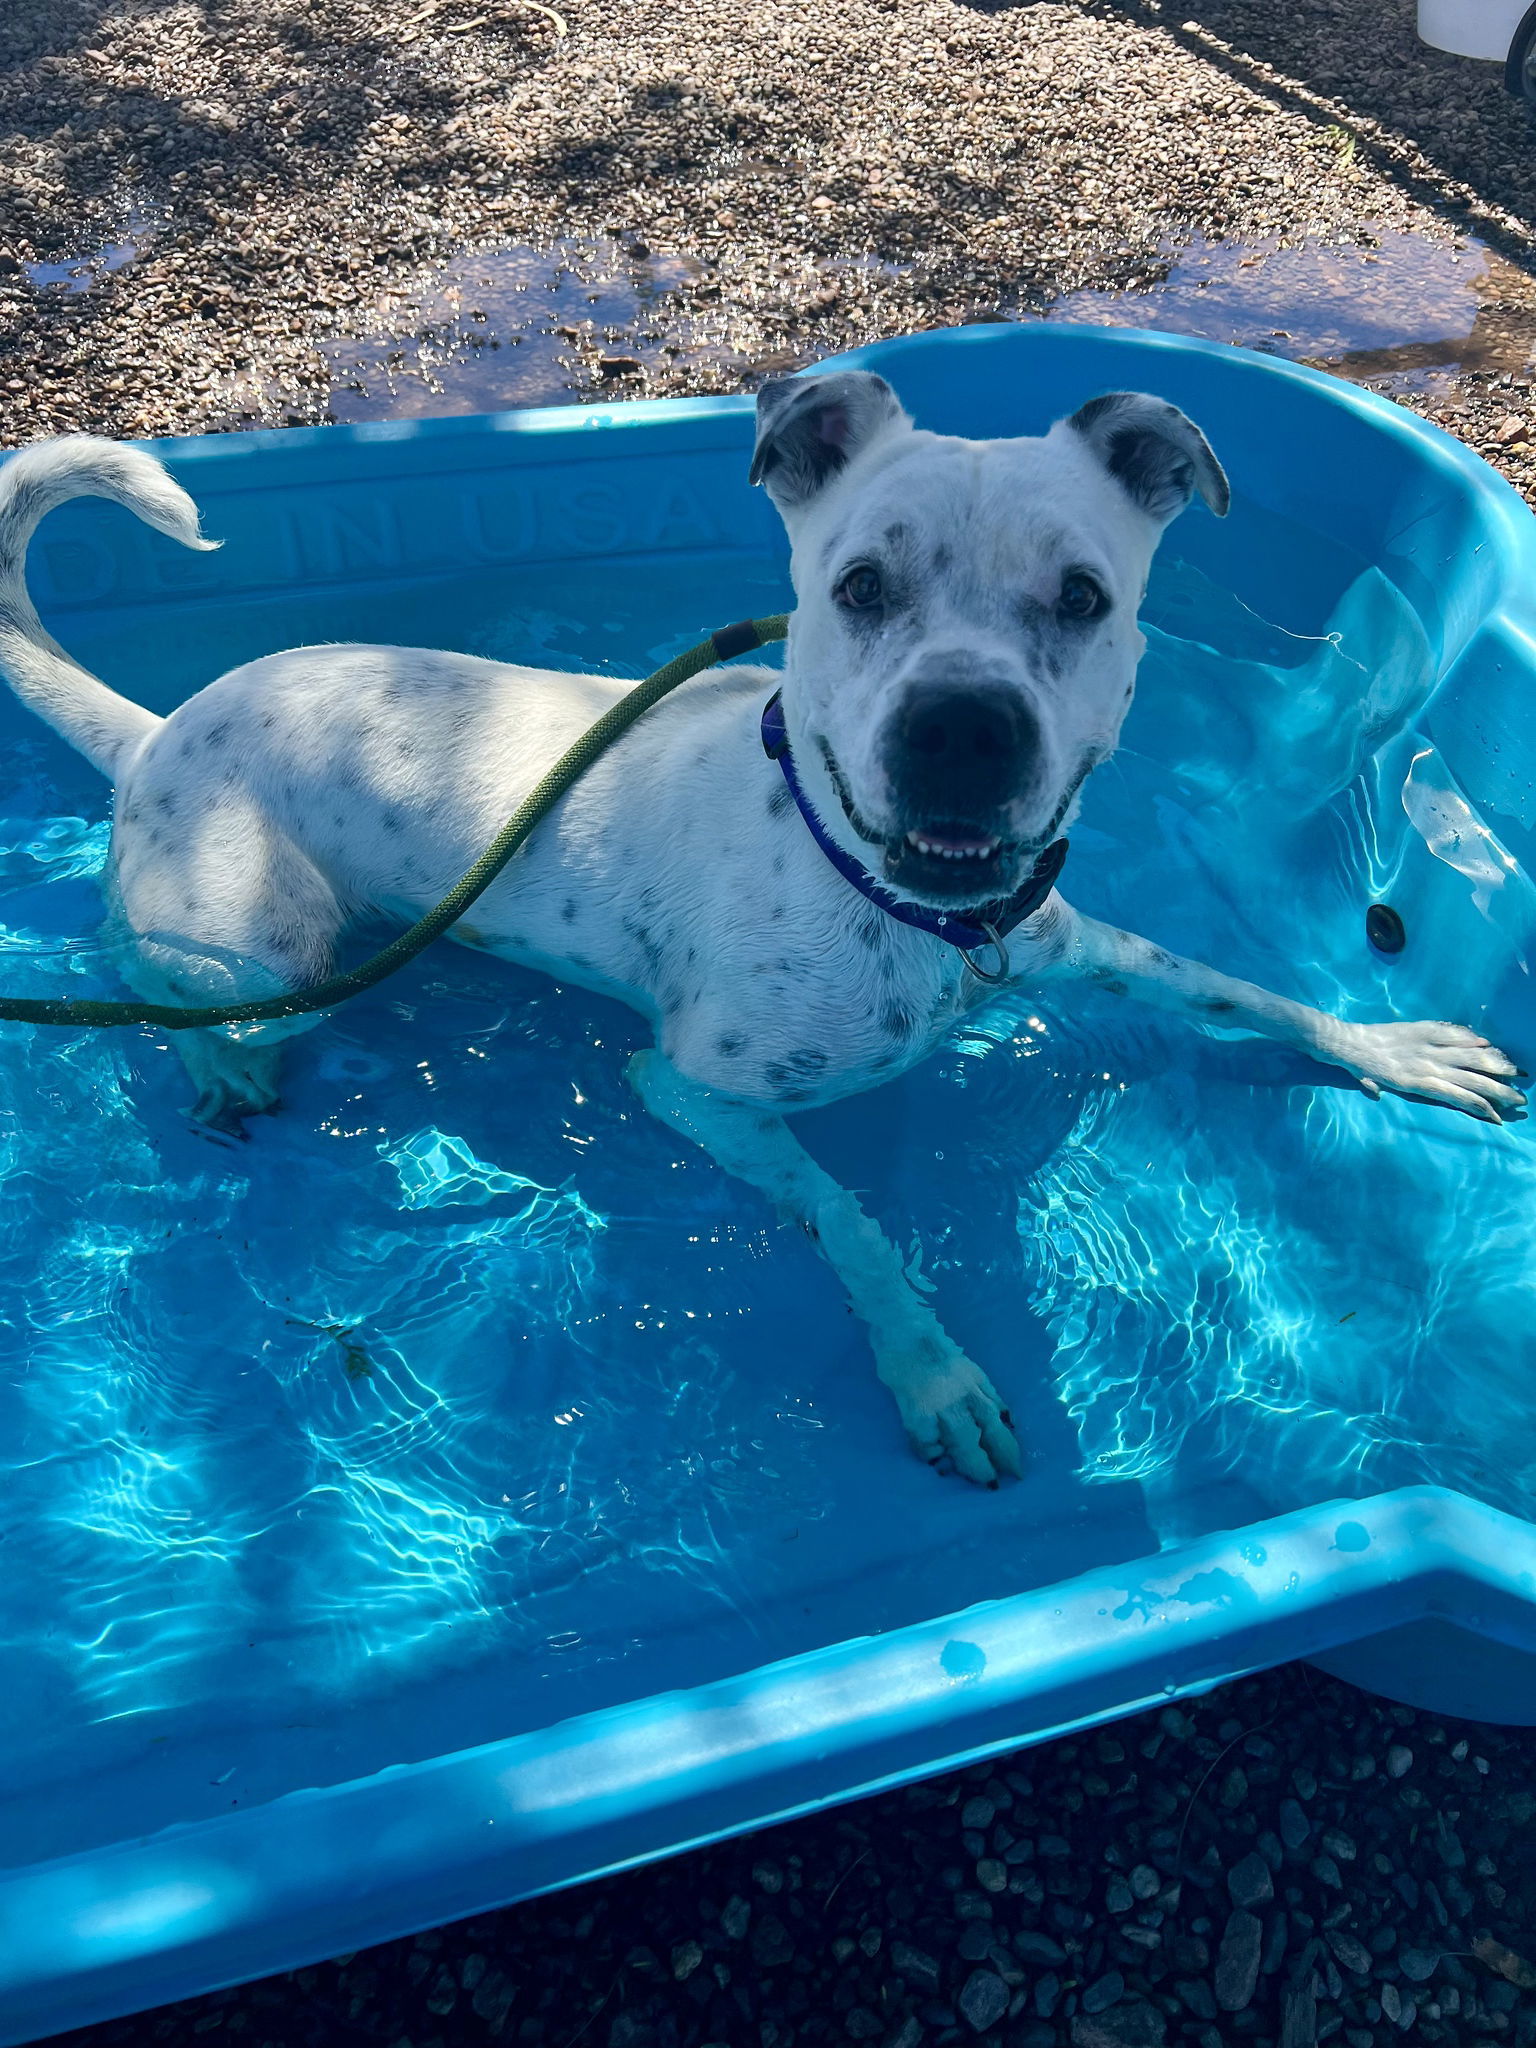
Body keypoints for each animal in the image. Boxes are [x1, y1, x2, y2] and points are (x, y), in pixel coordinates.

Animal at [0, 372, 1523, 1490]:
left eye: (1084, 596)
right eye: (859, 586)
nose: (961, 729)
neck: (891, 901)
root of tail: (156, 731)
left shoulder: (1089, 946)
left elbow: (1251, 993)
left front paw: (1404, 1048)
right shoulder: (693, 1089)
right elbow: (849, 1216)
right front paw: (932, 1369)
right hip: (279, 953)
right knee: (149, 973)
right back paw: (217, 1064)